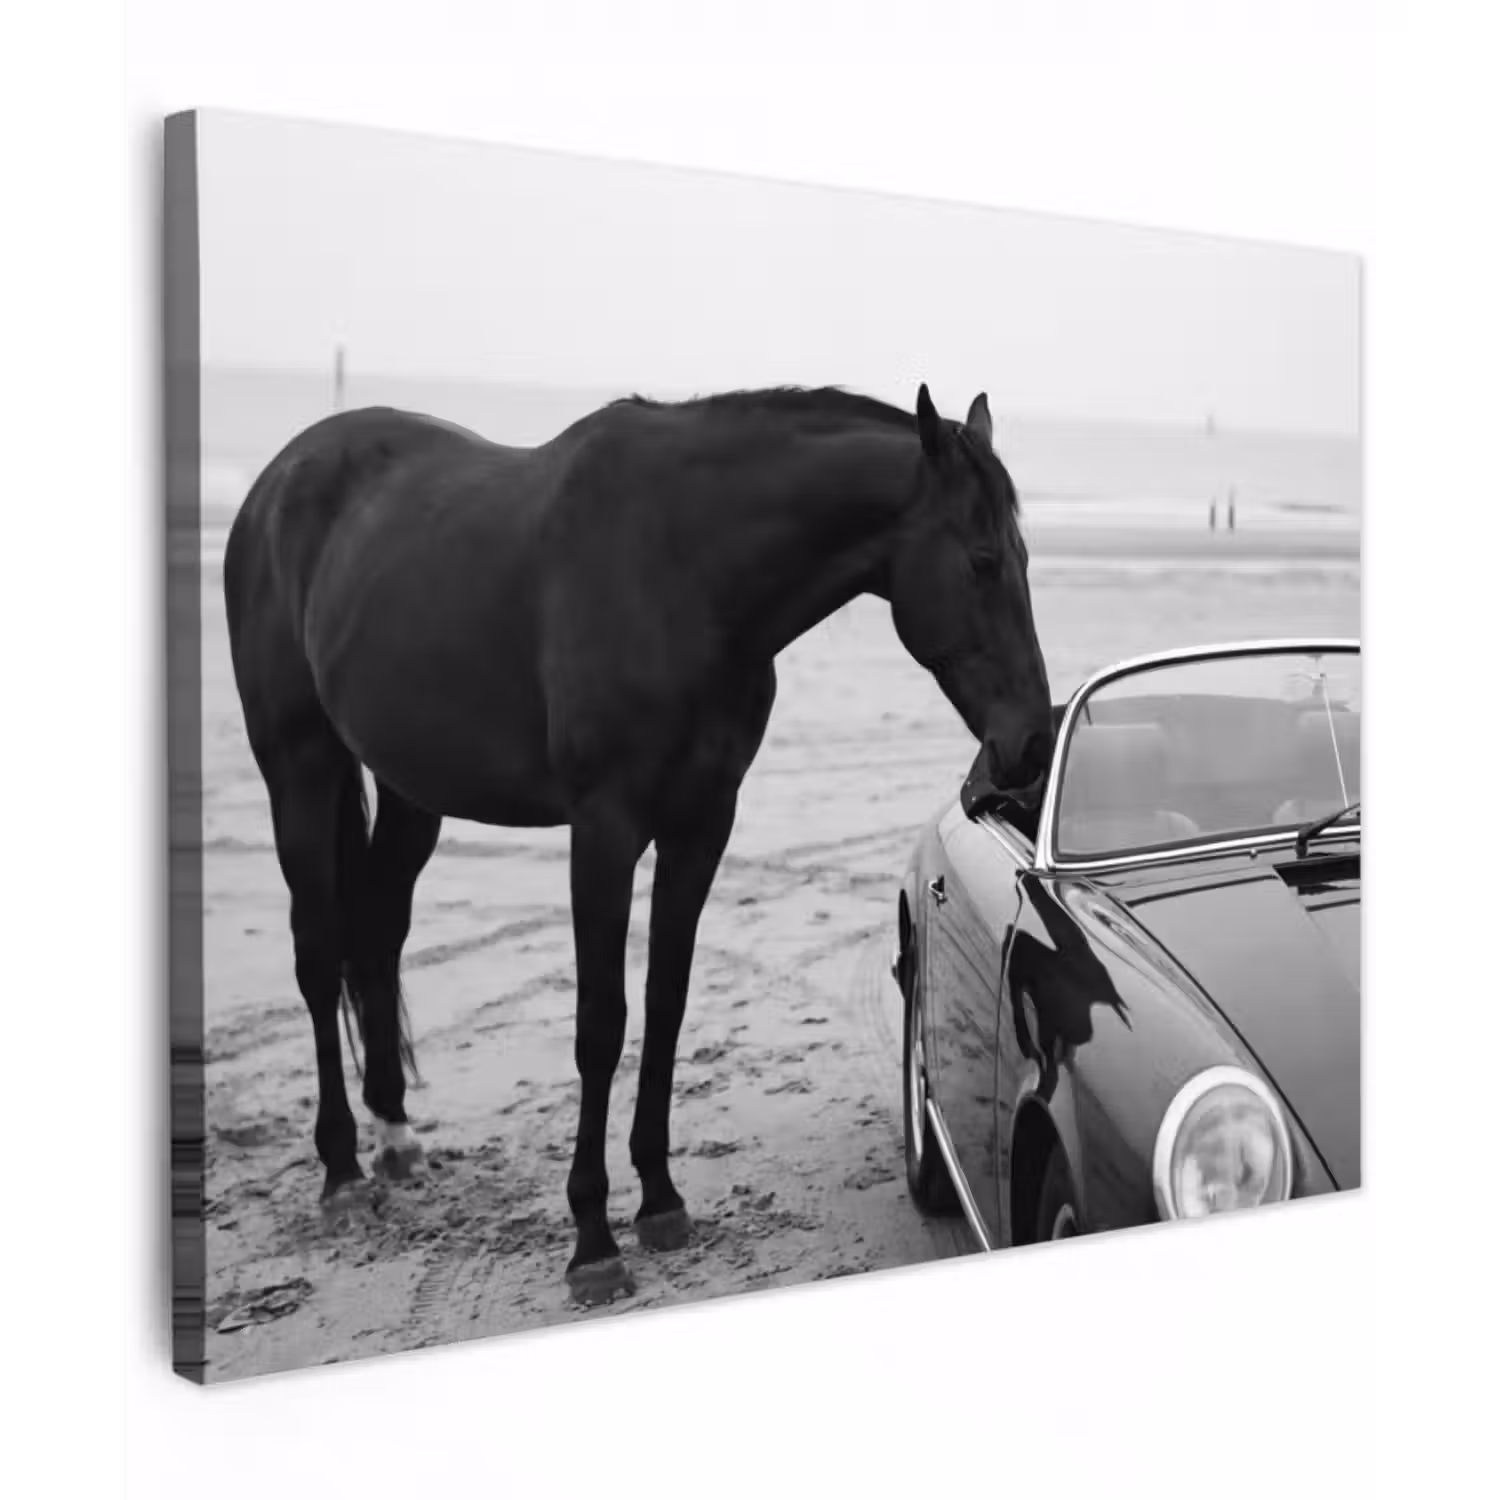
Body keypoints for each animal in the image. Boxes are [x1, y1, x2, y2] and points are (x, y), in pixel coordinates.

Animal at [223, 381, 1054, 1304]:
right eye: (981, 561)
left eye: (1022, 558)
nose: (1030, 742)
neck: (681, 571)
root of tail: (279, 481)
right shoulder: (605, 830)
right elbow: (601, 1023)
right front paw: (592, 1239)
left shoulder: (701, 825)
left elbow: (666, 1003)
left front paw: (658, 1200)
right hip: (299, 771)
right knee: (316, 952)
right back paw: (340, 1173)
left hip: (410, 789)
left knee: (376, 934)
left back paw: (395, 1136)